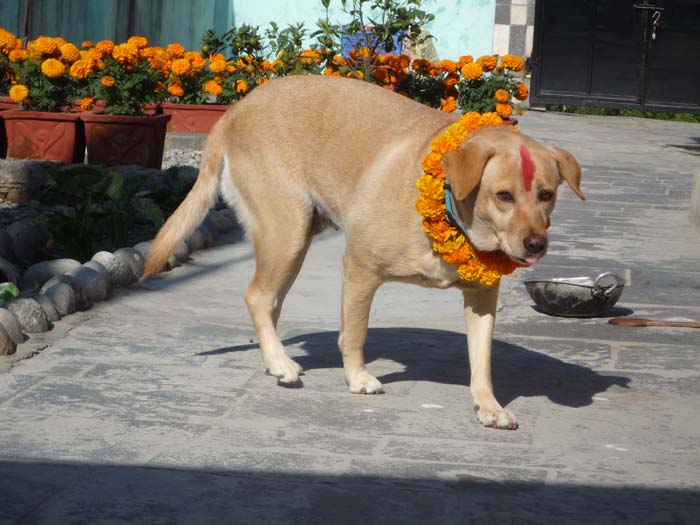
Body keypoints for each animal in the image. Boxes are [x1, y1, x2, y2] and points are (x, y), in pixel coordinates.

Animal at [144, 73, 584, 428]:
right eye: (503, 195)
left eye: (546, 194)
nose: (536, 243)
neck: (447, 207)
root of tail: (236, 110)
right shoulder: (360, 270)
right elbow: (354, 333)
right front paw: (357, 378)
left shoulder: (481, 297)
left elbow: (482, 359)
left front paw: (488, 405)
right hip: (287, 233)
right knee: (257, 297)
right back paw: (281, 362)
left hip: (293, 243)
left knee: (269, 303)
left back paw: (274, 360)